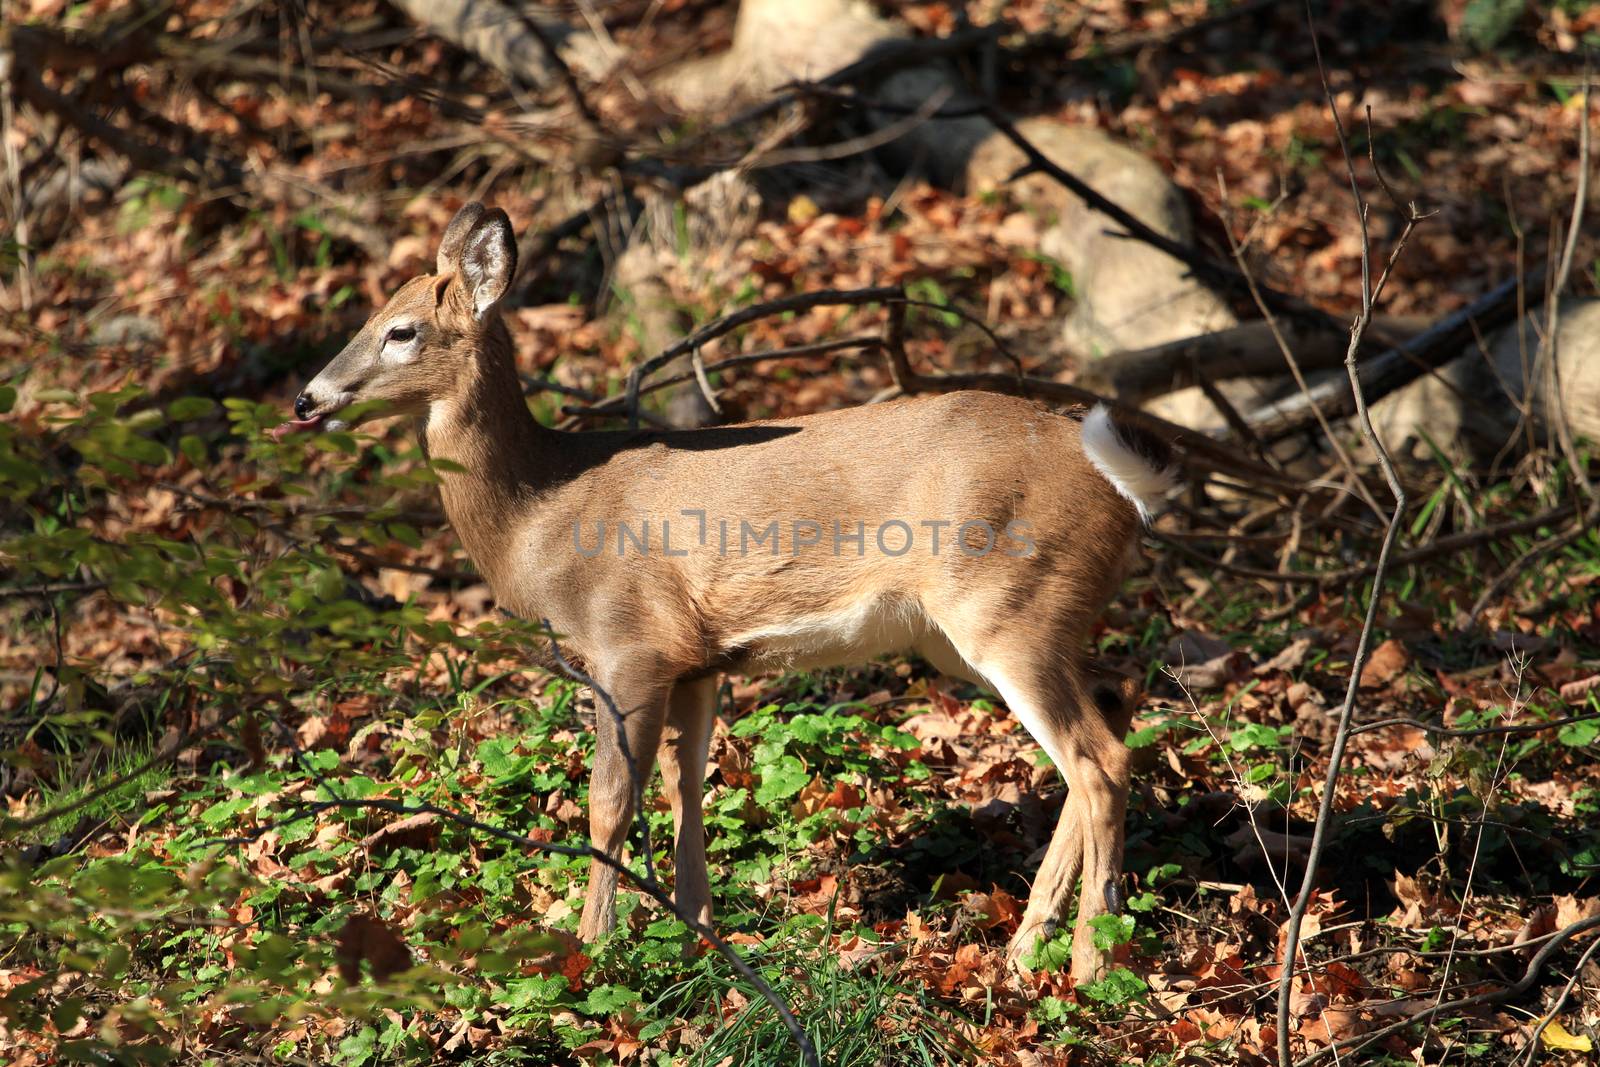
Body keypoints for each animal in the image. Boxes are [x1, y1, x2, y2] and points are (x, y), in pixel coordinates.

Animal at [281, 199, 1177, 985]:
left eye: (401, 330)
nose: (306, 398)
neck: (542, 513)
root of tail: (1117, 485)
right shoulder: (700, 660)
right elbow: (688, 788)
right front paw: (696, 937)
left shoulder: (630, 641)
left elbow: (608, 798)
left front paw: (593, 948)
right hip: (998, 625)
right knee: (1114, 704)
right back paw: (1028, 949)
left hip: (1005, 609)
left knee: (1099, 760)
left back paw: (1090, 963)